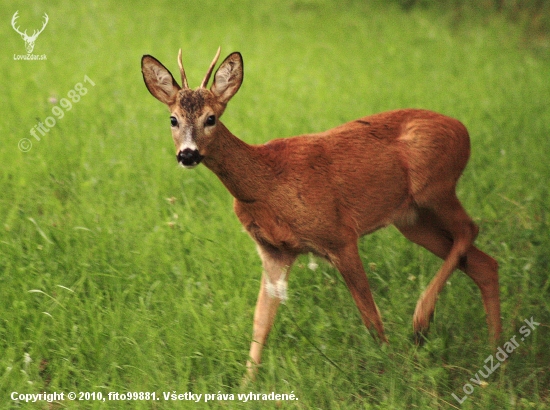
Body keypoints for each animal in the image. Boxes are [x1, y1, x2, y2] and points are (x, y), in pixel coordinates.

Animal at [140, 47, 502, 378]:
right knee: (483, 263)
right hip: (410, 219)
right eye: (173, 119)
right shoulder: (274, 251)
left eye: (211, 118)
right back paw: (493, 352)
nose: (188, 154)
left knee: (470, 230)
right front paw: (245, 386)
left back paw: (422, 321)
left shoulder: (339, 235)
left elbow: (369, 314)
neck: (267, 184)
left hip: (435, 186)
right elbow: (260, 324)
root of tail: (463, 129)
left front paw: (391, 370)